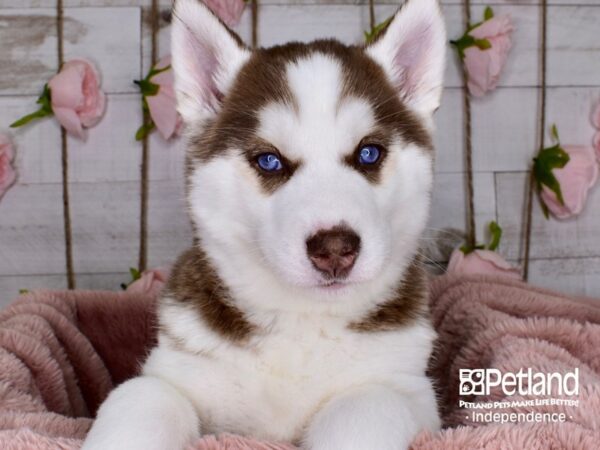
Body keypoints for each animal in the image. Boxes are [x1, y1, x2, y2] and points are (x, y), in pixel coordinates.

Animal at [84, 0, 448, 448]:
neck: (301, 322)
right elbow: (143, 397)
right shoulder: (175, 368)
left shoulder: (409, 387)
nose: (335, 250)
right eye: (270, 161)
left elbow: (366, 405)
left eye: (369, 154)